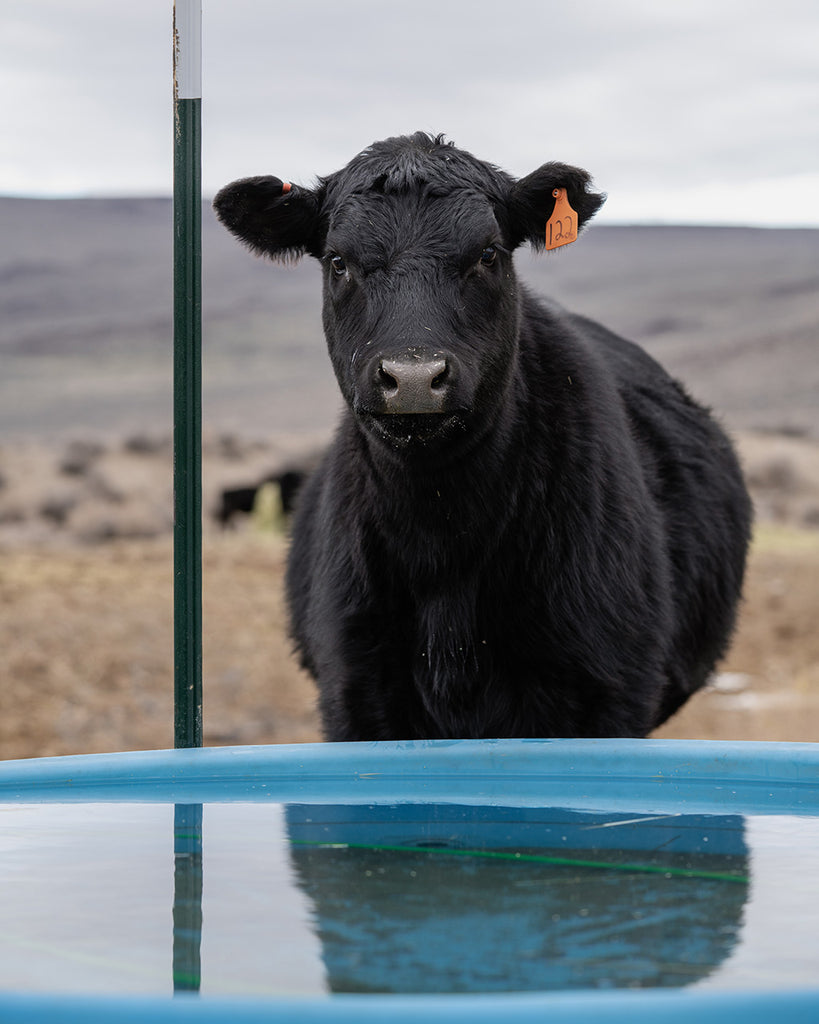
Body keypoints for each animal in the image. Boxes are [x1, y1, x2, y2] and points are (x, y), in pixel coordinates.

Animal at [213, 132, 753, 741]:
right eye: (338, 261)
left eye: (488, 255)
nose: (414, 377)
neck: (442, 538)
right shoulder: (357, 693)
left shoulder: (605, 694)